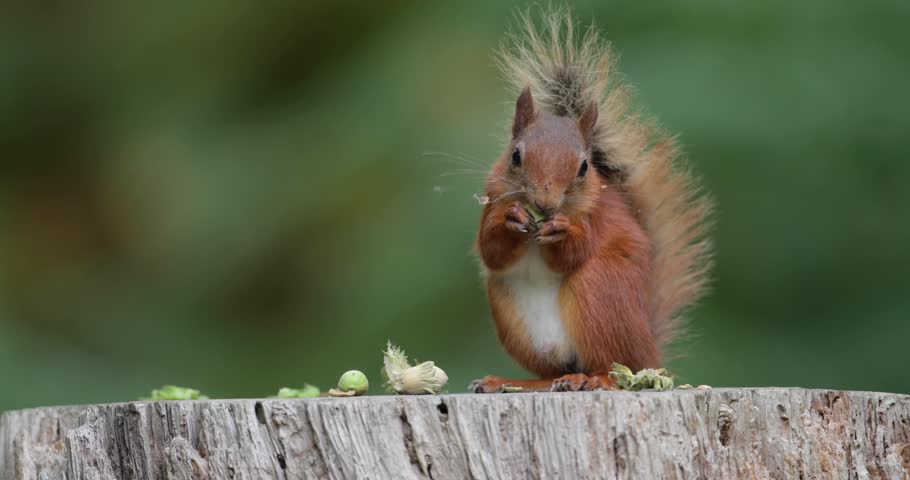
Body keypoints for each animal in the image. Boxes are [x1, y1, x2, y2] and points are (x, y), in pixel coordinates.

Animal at [471, 8, 713, 393]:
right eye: (515, 156)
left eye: (584, 167)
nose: (546, 202)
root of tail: (650, 352)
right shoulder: (493, 197)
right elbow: (490, 249)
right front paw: (511, 220)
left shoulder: (597, 217)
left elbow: (578, 249)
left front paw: (563, 231)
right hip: (511, 313)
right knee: (552, 372)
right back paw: (513, 381)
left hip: (600, 290)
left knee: (613, 367)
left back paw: (594, 378)